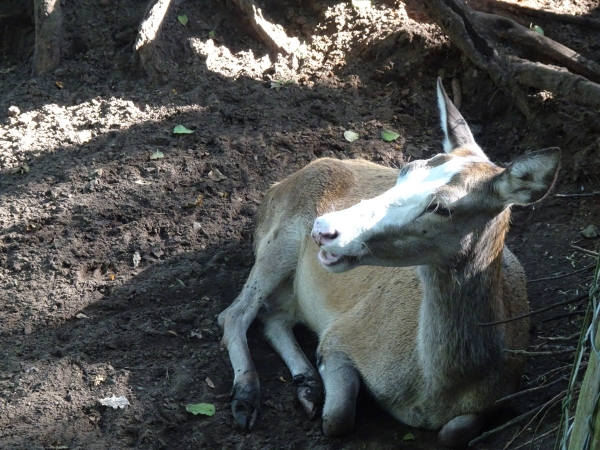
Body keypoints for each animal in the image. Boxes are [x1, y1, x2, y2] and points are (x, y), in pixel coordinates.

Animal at [218, 79, 560, 448]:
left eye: (443, 207)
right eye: (407, 169)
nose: (324, 229)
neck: (435, 390)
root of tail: (276, 186)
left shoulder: (500, 397)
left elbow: (453, 432)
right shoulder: (340, 336)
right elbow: (337, 418)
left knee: (272, 317)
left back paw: (306, 385)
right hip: (279, 237)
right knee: (234, 313)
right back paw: (247, 397)